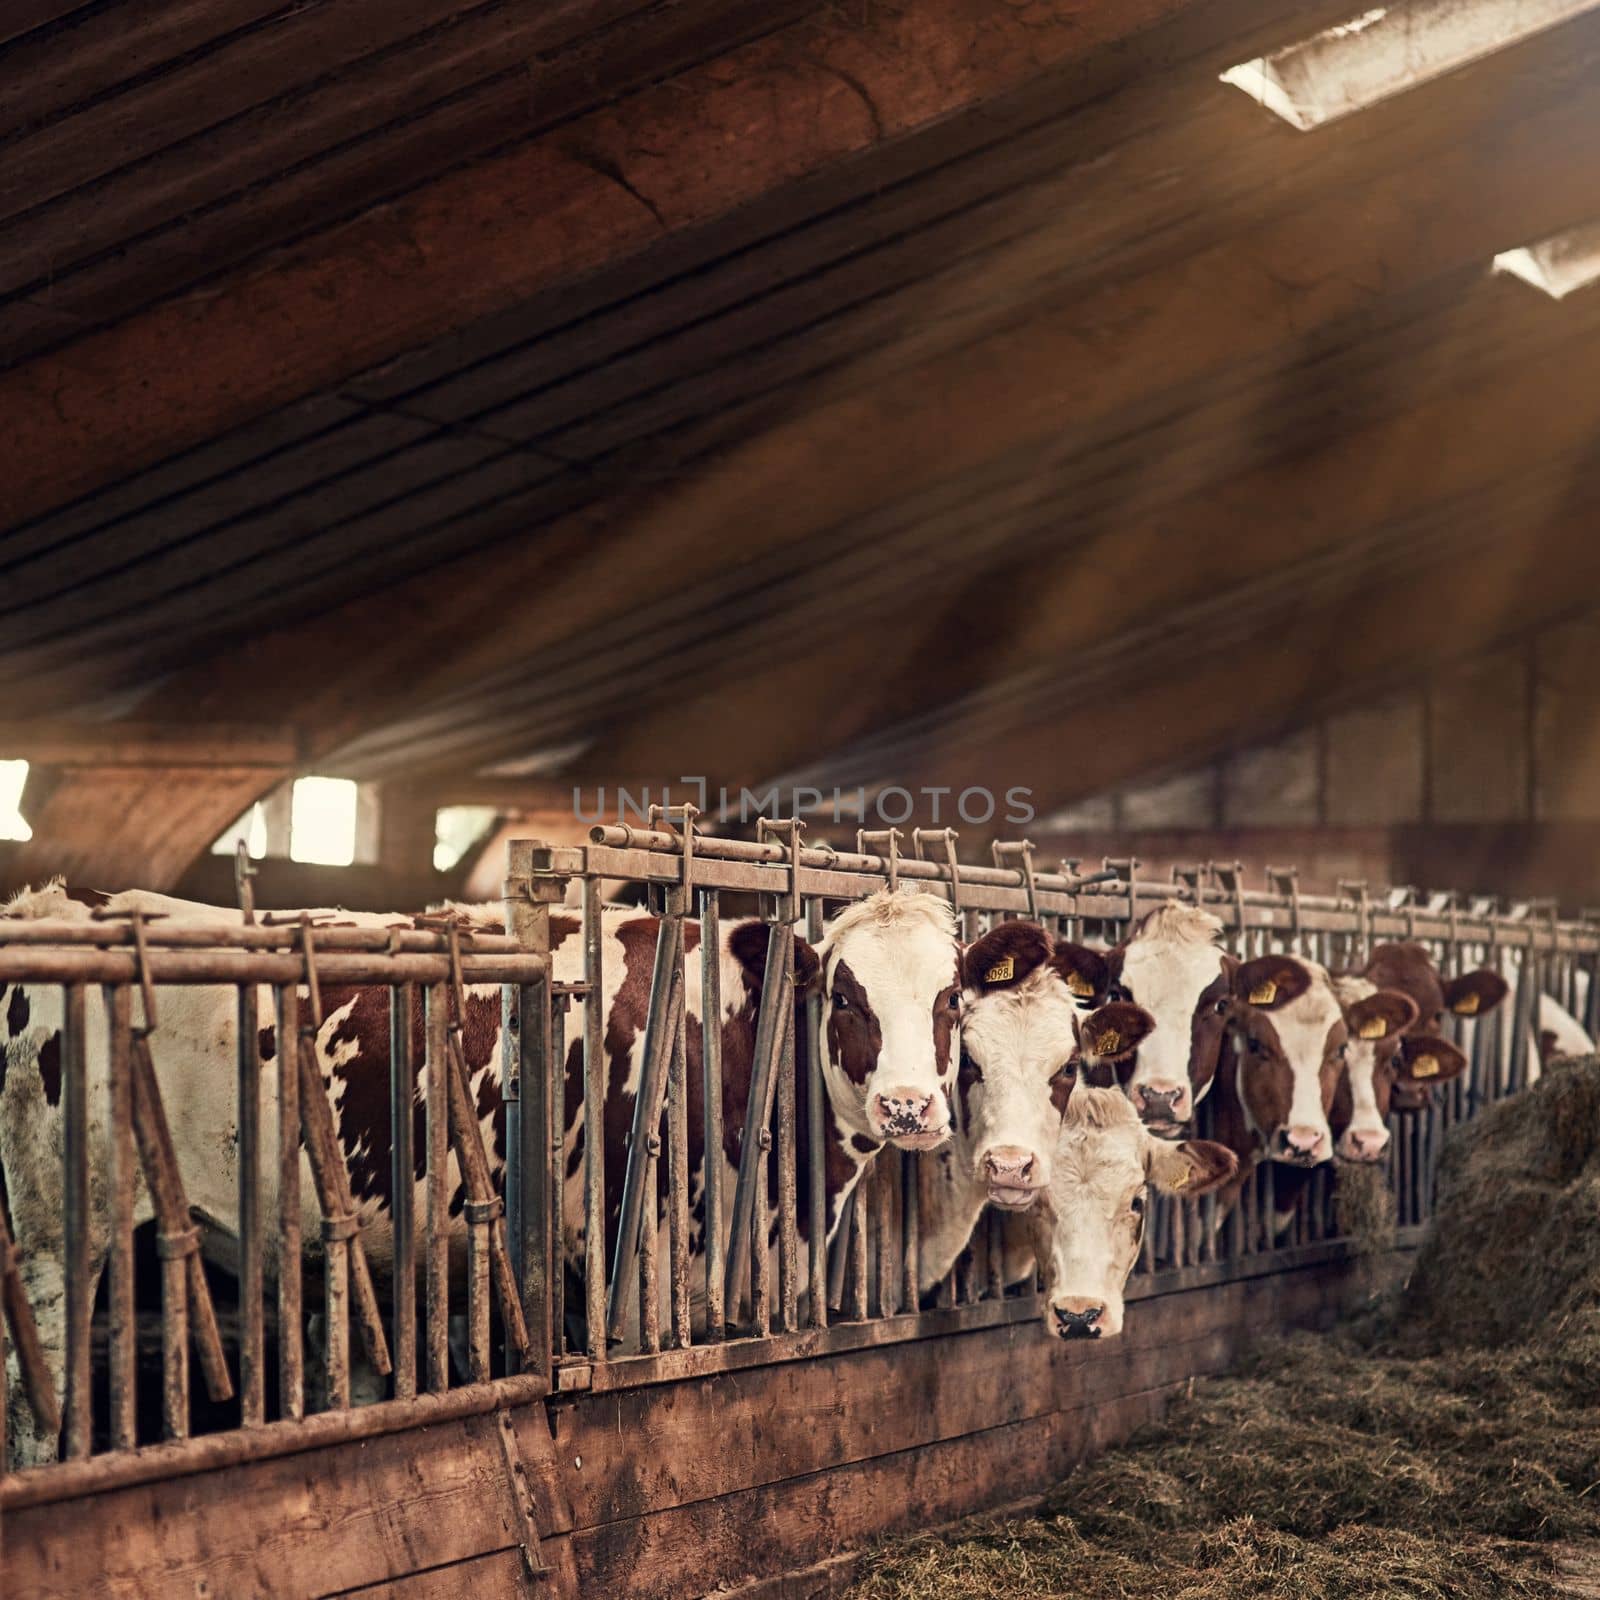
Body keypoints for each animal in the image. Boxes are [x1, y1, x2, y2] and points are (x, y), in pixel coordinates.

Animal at [3, 883, 960, 1465]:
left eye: (950, 1000)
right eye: (846, 996)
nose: (910, 1107)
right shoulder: (636, 1271)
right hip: (55, 1236)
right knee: (33, 1396)